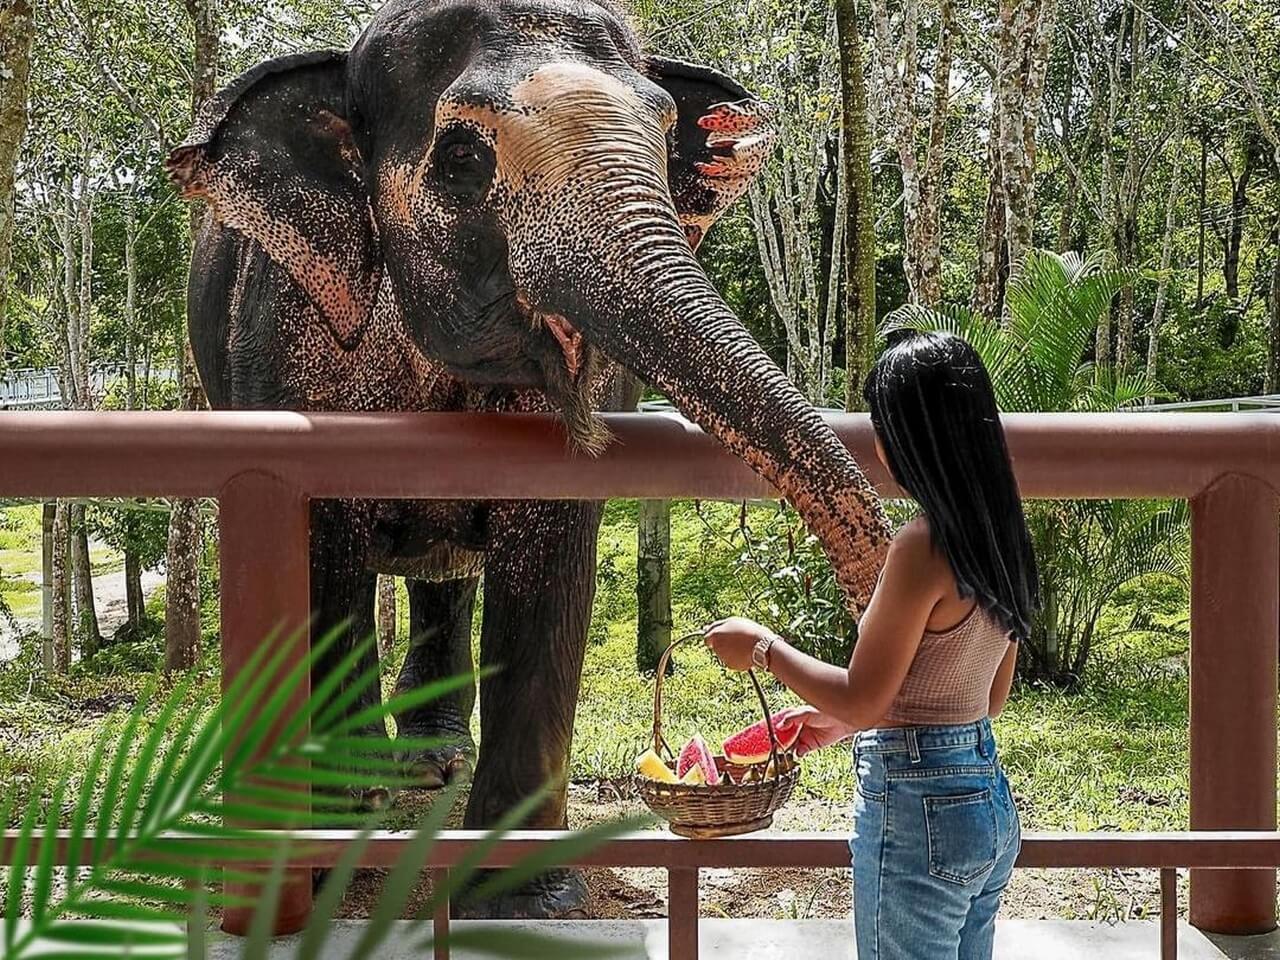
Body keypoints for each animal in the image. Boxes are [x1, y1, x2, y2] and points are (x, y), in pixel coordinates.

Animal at [168, 0, 889, 919]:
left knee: (444, 575)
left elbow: (551, 558)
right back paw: (382, 782)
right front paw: (330, 857)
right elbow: (320, 561)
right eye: (462, 157)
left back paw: (431, 762)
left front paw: (525, 901)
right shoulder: (284, 336)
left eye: (663, 132)